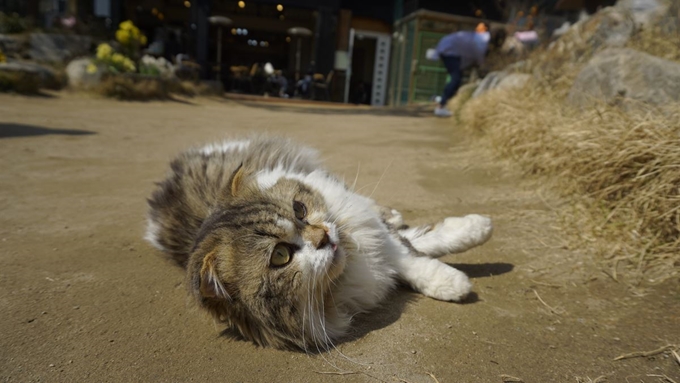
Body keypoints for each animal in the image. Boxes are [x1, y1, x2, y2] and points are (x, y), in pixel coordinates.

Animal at [145, 135, 494, 352]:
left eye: (300, 210)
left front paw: (476, 232)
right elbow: (415, 253)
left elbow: (416, 252)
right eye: (280, 256)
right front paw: (455, 282)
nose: (325, 237)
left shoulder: (373, 232)